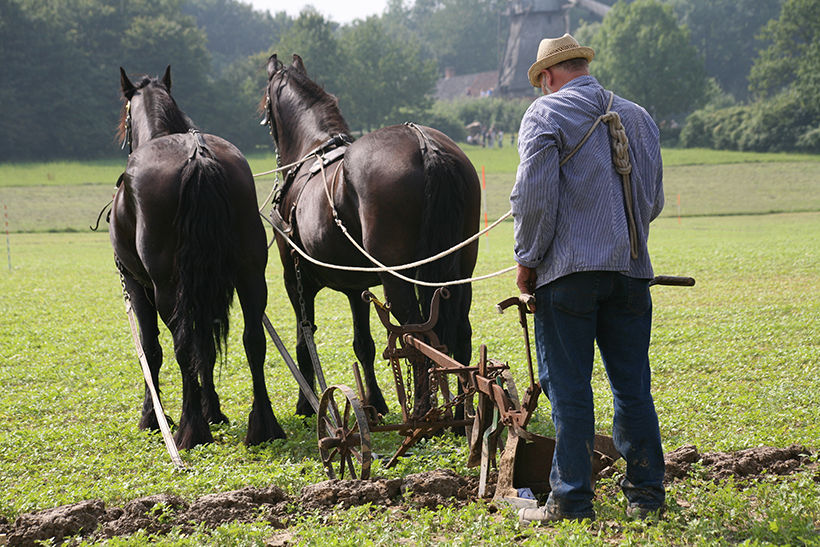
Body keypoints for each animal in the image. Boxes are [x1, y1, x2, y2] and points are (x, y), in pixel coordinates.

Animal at [112, 66, 286, 450]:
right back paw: (263, 426)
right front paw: (214, 409)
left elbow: (152, 350)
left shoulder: (137, 284)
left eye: (125, 116)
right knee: (252, 339)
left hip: (167, 286)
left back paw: (191, 429)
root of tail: (198, 157)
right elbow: (206, 346)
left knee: (181, 344)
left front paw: (152, 417)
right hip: (250, 274)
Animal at [262, 54, 480, 416]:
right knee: (460, 330)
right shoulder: (356, 288)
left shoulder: (295, 281)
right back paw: (465, 410)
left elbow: (304, 342)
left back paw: (422, 410)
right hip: (462, 266)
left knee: (415, 333)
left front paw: (306, 405)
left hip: (397, 277)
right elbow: (363, 344)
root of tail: (425, 144)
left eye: (265, 104)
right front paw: (375, 401)